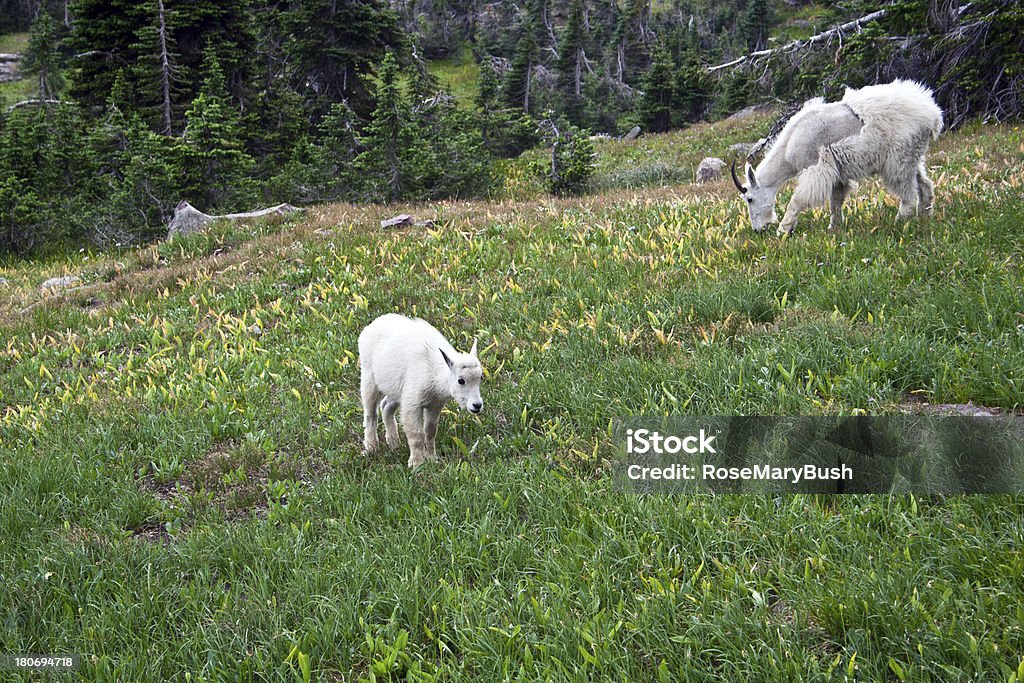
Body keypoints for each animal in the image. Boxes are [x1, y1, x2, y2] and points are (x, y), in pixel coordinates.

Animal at [358, 317, 481, 471]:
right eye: (461, 380)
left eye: (480, 377)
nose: (477, 405)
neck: (434, 373)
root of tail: (369, 327)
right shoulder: (413, 403)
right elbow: (416, 434)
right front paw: (417, 464)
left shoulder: (435, 405)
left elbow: (430, 431)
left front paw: (432, 459)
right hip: (369, 378)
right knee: (370, 414)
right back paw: (371, 448)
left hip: (397, 389)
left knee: (386, 406)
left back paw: (394, 443)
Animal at [729, 79, 942, 235]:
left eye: (749, 199)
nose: (758, 230)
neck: (789, 149)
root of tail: (932, 114)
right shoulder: (837, 171)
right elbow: (836, 201)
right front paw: (834, 227)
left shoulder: (815, 167)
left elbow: (797, 200)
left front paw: (784, 229)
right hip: (912, 155)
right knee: (924, 184)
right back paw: (925, 216)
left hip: (898, 159)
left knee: (908, 194)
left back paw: (899, 222)